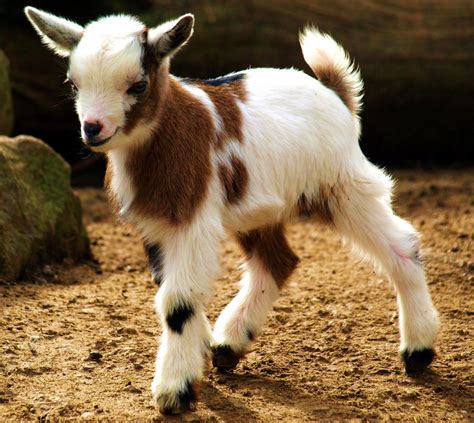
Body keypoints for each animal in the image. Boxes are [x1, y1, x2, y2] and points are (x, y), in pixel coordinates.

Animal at [26, 8, 440, 416]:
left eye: (138, 85)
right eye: (73, 84)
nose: (93, 128)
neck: (166, 129)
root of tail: (334, 93)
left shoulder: (191, 220)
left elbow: (177, 302)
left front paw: (174, 391)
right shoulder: (156, 225)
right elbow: (173, 290)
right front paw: (197, 360)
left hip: (342, 185)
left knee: (402, 244)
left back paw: (418, 352)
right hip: (260, 208)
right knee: (278, 261)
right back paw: (228, 345)